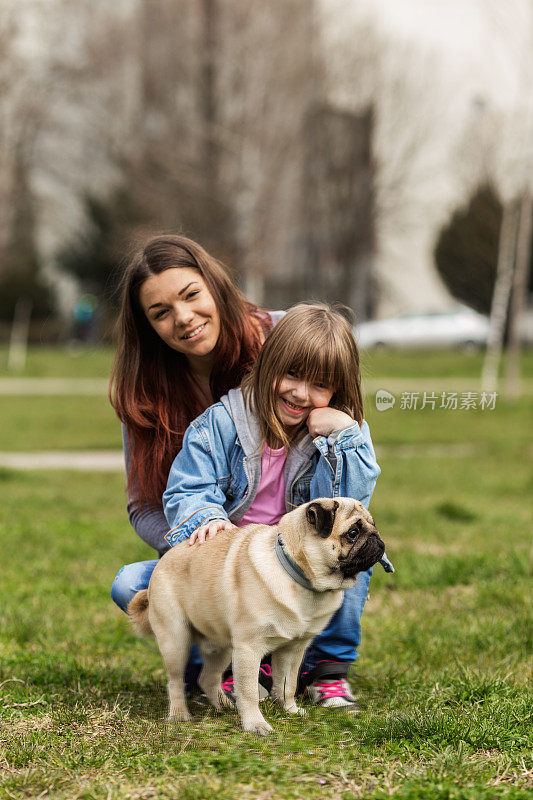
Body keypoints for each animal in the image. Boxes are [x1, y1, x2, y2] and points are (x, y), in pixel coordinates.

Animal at [129, 496, 386, 736]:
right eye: (353, 533)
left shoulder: (292, 649)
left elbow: (287, 684)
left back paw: (224, 705)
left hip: (220, 646)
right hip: (176, 640)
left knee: (208, 678)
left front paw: (289, 710)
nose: (377, 539)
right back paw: (180, 715)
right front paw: (255, 724)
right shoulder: (248, 649)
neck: (297, 574)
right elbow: (250, 691)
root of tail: (163, 562)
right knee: (175, 682)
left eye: (374, 526)